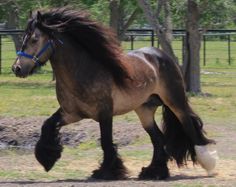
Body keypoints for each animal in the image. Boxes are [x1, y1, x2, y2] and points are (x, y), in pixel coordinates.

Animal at [12, 7, 217, 180]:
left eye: (34, 39)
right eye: (24, 37)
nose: (17, 68)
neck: (84, 71)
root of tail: (161, 56)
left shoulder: (105, 113)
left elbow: (106, 142)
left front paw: (107, 171)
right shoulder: (71, 114)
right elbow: (47, 125)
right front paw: (47, 159)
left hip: (175, 102)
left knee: (189, 127)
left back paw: (208, 163)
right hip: (144, 110)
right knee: (159, 139)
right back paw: (154, 172)